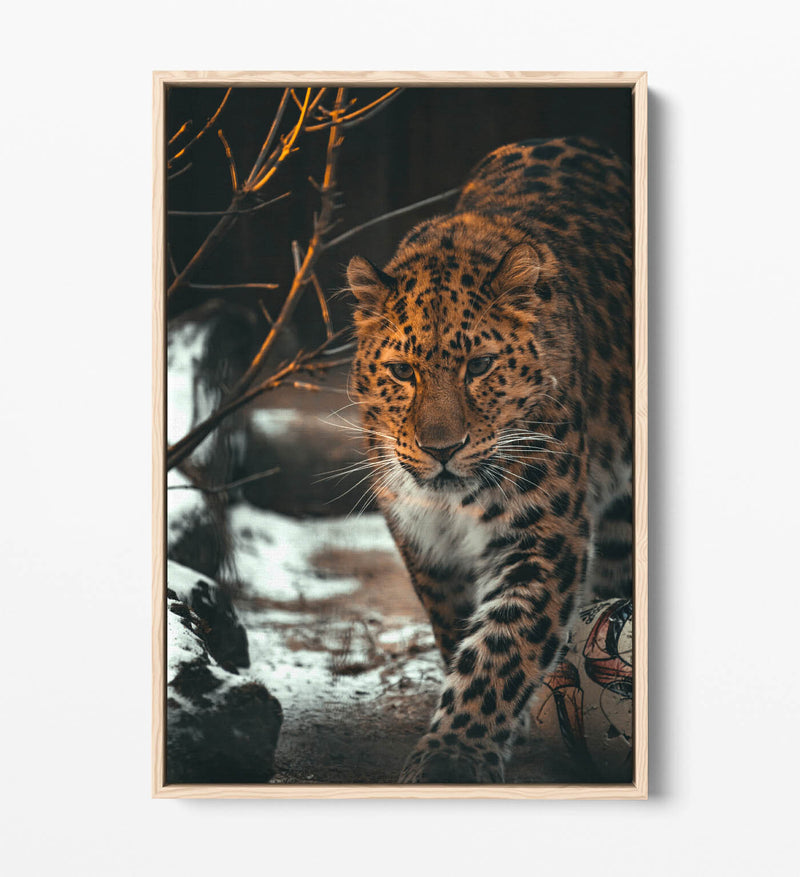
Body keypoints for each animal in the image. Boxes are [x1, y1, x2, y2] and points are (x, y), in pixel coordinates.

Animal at [346, 136, 633, 784]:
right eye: (402, 371)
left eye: (479, 366)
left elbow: (503, 647)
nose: (440, 449)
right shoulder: (422, 538)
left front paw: (454, 756)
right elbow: (459, 628)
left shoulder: (543, 534)